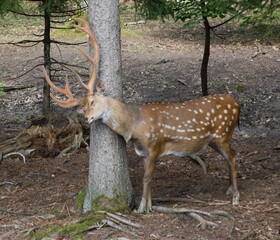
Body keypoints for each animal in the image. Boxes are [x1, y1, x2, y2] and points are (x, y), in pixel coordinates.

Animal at [42, 18, 240, 214]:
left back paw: (235, 197)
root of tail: (236, 103)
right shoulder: (143, 152)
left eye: (92, 102)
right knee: (230, 155)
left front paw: (141, 209)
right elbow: (148, 179)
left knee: (232, 155)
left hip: (223, 133)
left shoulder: (154, 146)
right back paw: (229, 189)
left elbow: (146, 178)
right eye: (82, 106)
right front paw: (149, 206)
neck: (134, 127)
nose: (86, 118)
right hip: (213, 139)